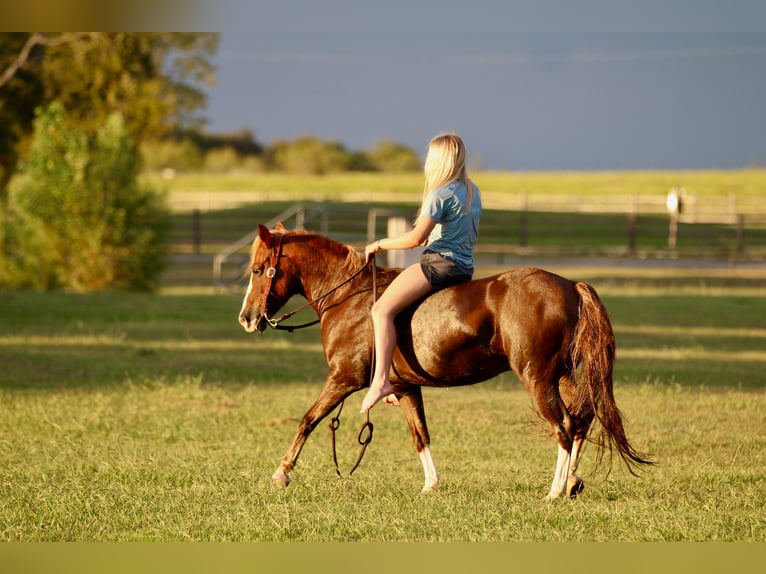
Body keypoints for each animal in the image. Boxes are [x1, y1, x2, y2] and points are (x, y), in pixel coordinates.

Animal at [238, 222, 652, 498]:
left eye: (258, 270)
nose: (246, 318)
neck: (349, 298)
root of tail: (570, 286)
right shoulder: (405, 387)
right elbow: (420, 435)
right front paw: (430, 485)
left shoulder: (342, 378)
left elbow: (307, 420)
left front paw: (282, 473)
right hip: (561, 375)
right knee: (582, 418)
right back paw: (571, 483)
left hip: (537, 377)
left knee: (564, 426)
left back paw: (554, 491)